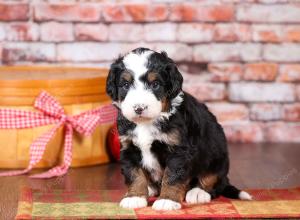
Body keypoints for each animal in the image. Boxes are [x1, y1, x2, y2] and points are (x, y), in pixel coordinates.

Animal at [105, 47, 251, 210]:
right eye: (125, 85)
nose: (139, 108)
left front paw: (167, 200)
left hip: (218, 157)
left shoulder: (178, 149)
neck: (147, 122)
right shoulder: (129, 147)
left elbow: (172, 176)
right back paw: (151, 188)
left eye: (155, 84)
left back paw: (198, 193)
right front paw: (134, 196)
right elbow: (134, 173)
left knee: (214, 181)